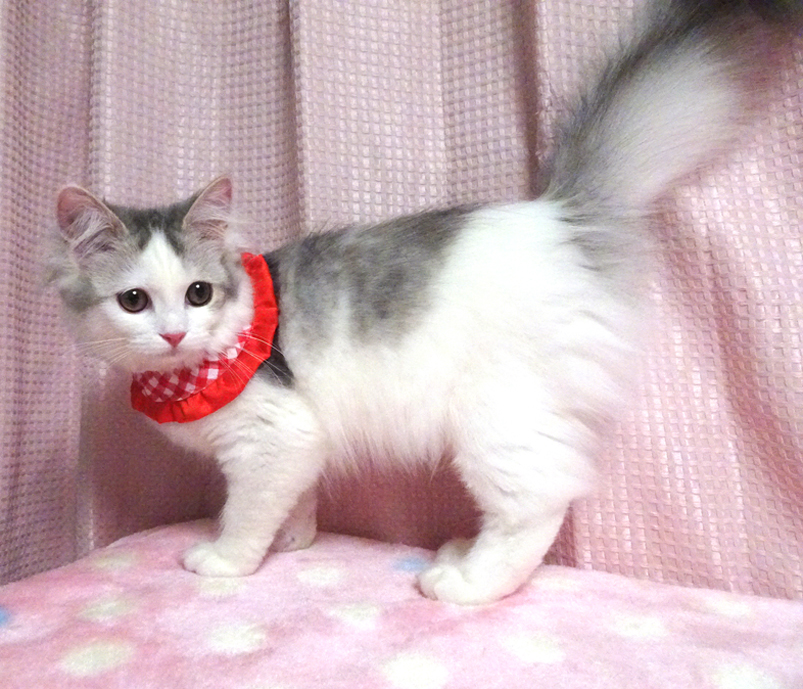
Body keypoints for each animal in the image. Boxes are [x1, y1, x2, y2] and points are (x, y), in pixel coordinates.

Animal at [48, 0, 798, 605]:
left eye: (198, 293)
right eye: (135, 301)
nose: (175, 334)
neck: (191, 368)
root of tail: (559, 217)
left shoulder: (272, 439)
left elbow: (246, 514)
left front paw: (228, 560)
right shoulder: (302, 443)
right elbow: (296, 502)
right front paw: (294, 541)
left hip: (498, 417)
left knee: (535, 505)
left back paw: (465, 582)